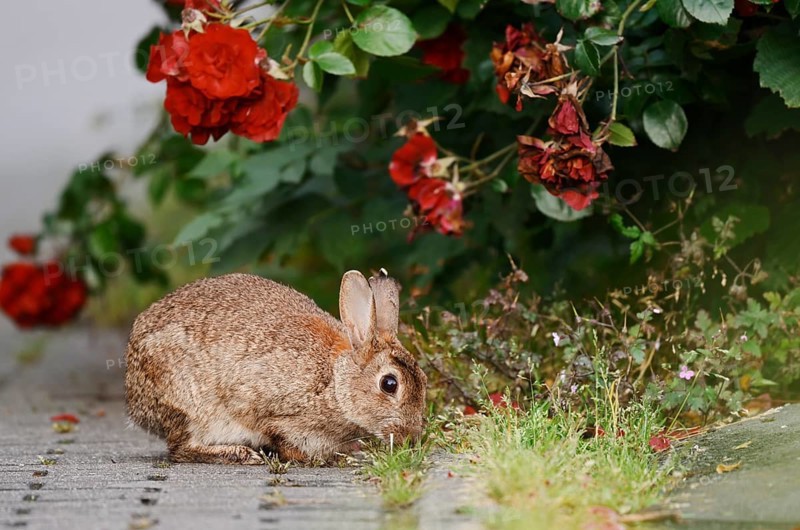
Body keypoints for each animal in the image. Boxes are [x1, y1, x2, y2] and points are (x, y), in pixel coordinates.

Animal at [124, 268, 427, 464]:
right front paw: (331, 458)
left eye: (424, 378)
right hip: (191, 406)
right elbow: (287, 444)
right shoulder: (273, 413)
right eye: (389, 384)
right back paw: (239, 454)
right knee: (180, 449)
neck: (335, 382)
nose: (412, 438)